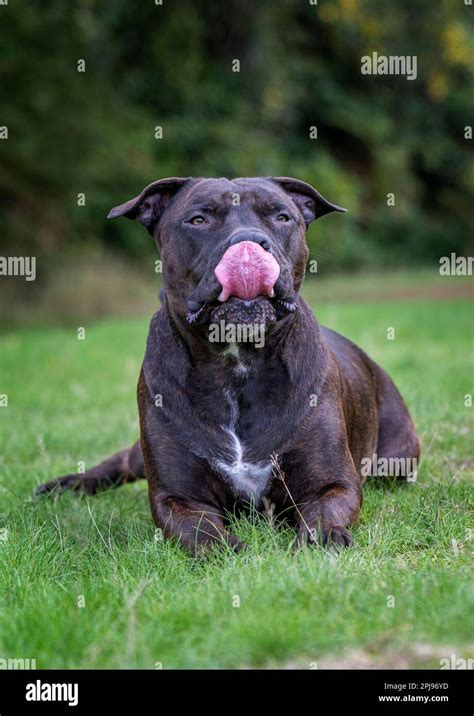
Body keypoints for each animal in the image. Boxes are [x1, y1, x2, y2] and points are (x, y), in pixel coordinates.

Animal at [36, 178, 418, 552]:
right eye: (198, 220)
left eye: (281, 217)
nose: (248, 242)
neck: (237, 362)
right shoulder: (177, 497)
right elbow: (200, 532)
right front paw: (228, 548)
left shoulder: (333, 483)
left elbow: (323, 511)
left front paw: (323, 537)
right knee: (120, 462)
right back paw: (63, 485)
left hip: (397, 460)